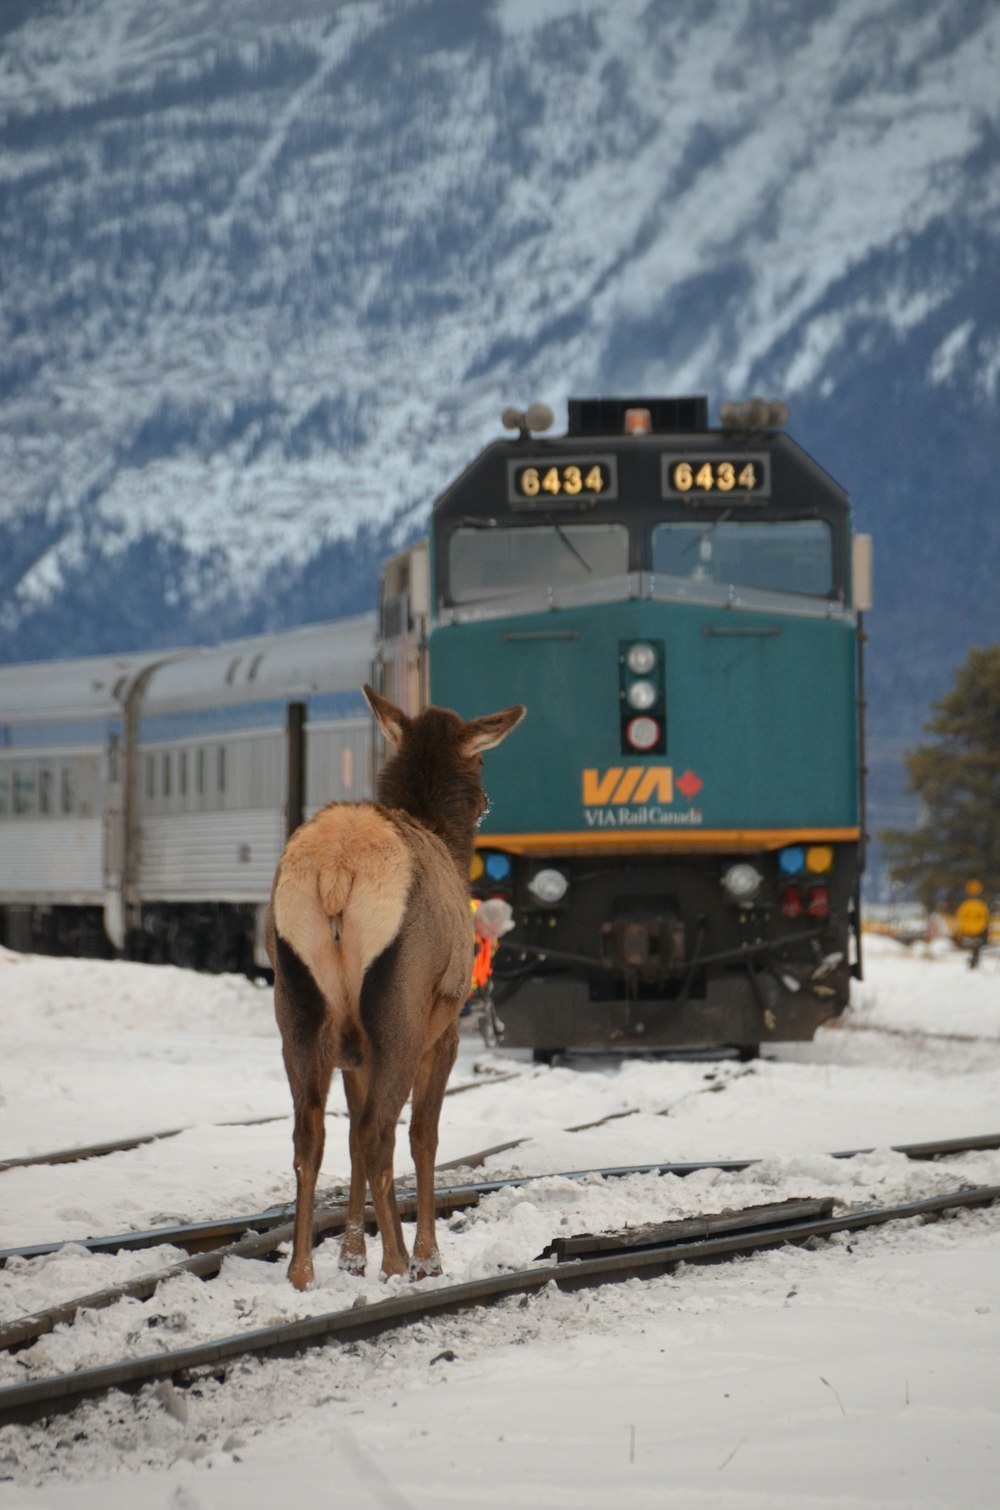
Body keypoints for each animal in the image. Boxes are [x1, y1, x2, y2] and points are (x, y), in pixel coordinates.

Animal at [270, 685, 528, 1286]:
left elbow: (346, 1136)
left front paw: (350, 1255)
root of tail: (336, 871)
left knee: (311, 1134)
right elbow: (423, 1136)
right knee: (380, 1131)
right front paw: (427, 1257)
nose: (487, 801)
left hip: (296, 1004)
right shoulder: (444, 1029)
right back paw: (397, 1261)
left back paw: (302, 1271)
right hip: (400, 1008)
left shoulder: (352, 1050)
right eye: (480, 762)